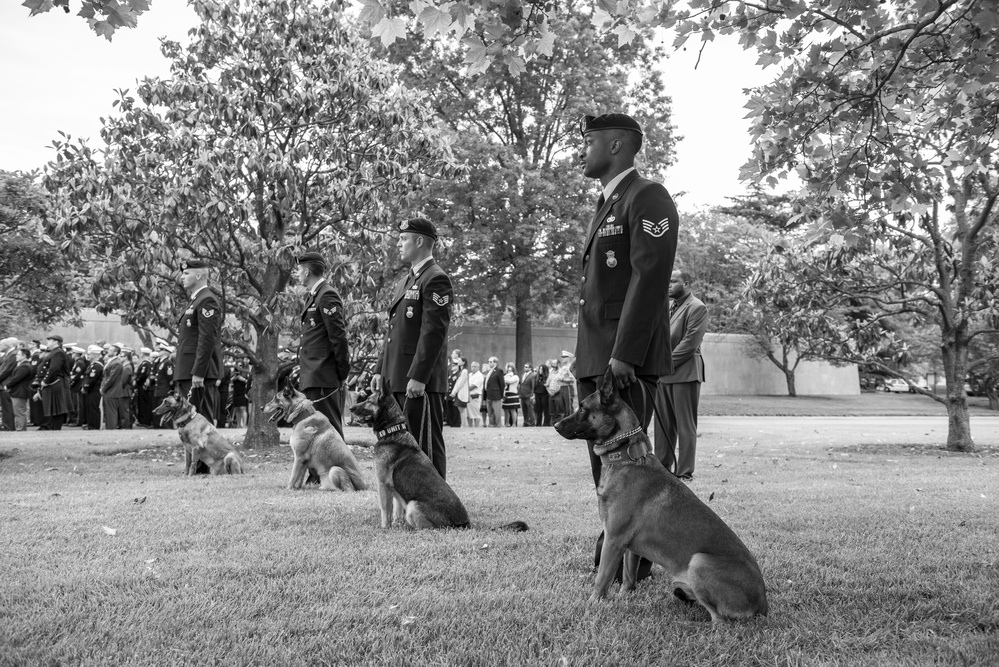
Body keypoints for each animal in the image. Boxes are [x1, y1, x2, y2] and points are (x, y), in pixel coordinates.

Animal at [348, 386, 528, 532]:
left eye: (368, 401)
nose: (350, 408)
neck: (393, 431)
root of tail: (465, 524)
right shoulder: (394, 489)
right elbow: (396, 511)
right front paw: (395, 525)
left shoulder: (383, 485)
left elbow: (385, 511)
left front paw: (385, 528)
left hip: (413, 506)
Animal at [552, 368, 768, 624]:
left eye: (583, 408)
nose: (555, 425)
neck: (626, 457)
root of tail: (763, 603)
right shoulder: (629, 547)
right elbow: (628, 578)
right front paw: (624, 599)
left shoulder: (613, 540)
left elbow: (602, 579)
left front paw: (591, 606)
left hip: (699, 562)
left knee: (720, 621)